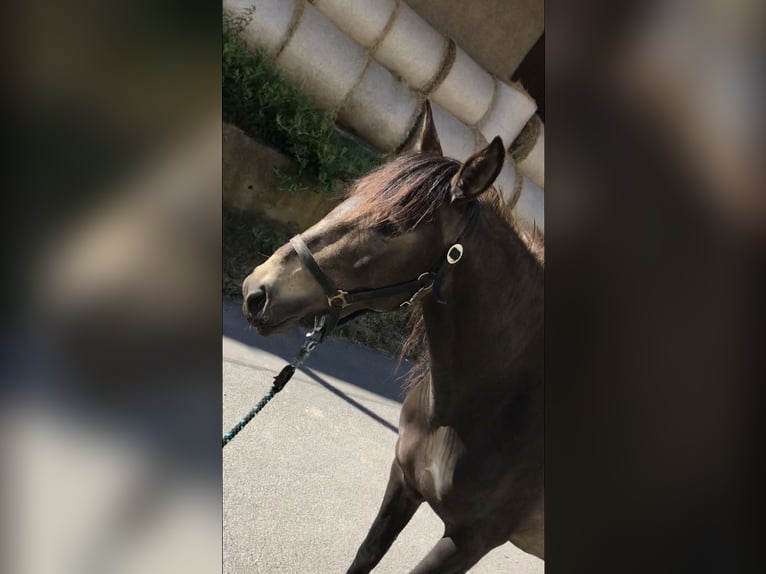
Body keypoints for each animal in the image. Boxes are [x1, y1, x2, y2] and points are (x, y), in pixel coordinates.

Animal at [243, 101, 544, 572]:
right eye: (353, 195)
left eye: (390, 227)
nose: (256, 291)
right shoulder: (403, 481)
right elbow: (365, 554)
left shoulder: (471, 539)